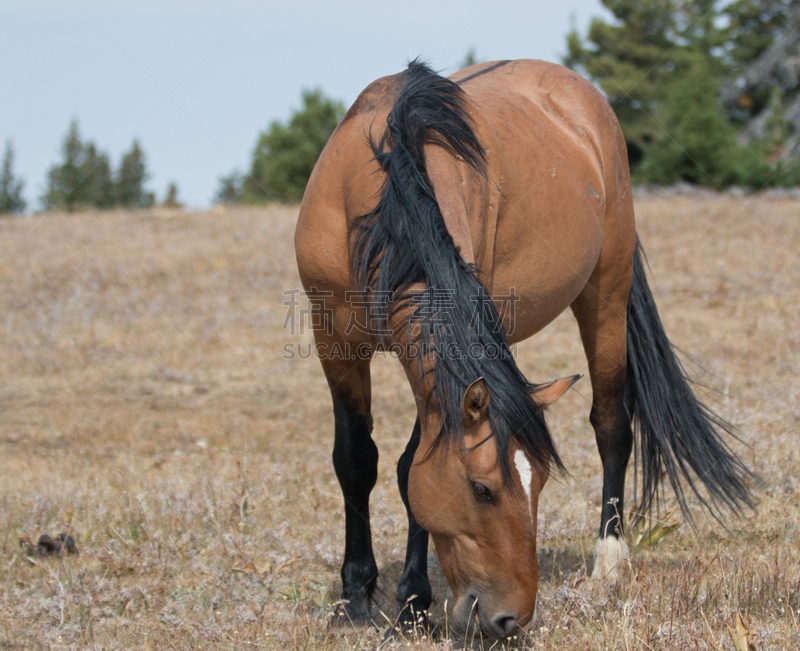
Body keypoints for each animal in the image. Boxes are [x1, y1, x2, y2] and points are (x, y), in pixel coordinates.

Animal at [292, 58, 752, 640]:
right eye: (481, 489)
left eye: (540, 487)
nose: (511, 618)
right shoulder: (333, 337)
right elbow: (356, 459)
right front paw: (354, 598)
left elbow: (408, 463)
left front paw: (413, 601)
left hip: (606, 292)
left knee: (612, 425)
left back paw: (608, 562)